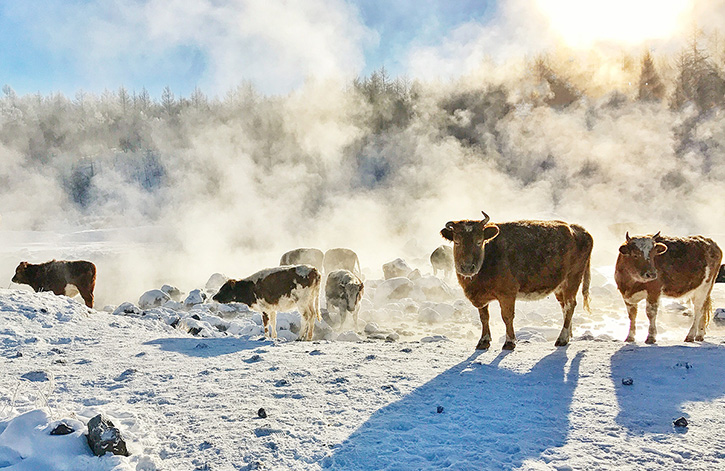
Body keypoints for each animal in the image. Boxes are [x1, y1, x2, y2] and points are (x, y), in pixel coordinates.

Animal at [438, 213, 592, 350]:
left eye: (479, 241)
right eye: (457, 242)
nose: (467, 267)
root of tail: (577, 229)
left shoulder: (507, 294)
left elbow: (507, 317)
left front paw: (509, 342)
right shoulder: (481, 297)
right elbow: (484, 317)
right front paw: (483, 341)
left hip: (572, 279)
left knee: (570, 305)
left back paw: (562, 339)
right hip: (559, 287)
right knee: (564, 307)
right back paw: (569, 335)